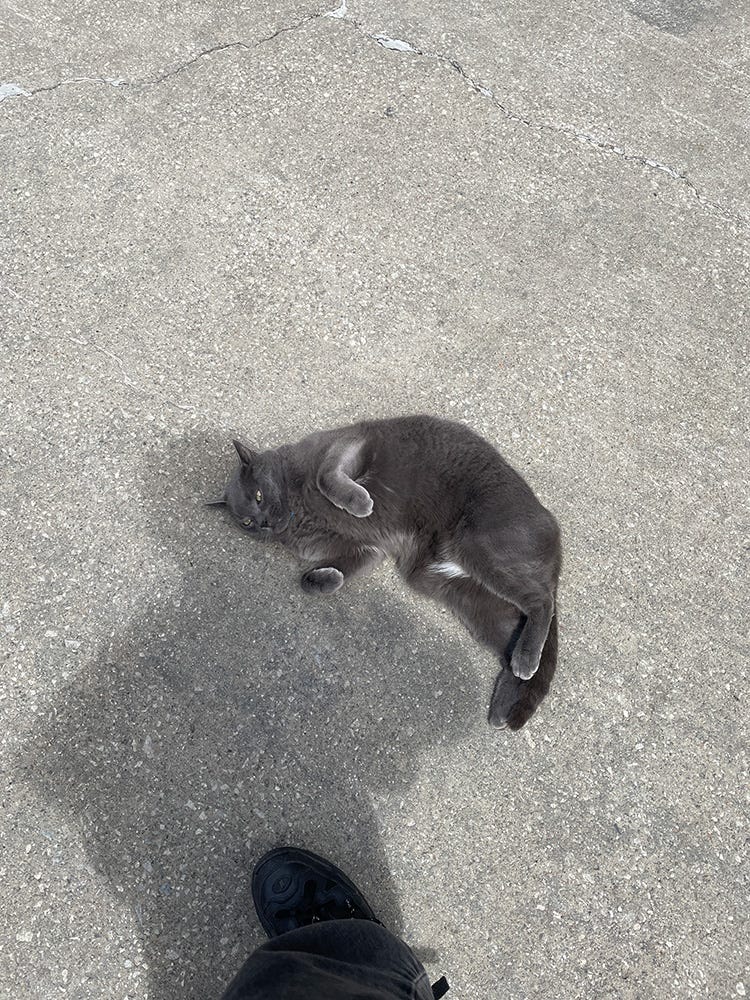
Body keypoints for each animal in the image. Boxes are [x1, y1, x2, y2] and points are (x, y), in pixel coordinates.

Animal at [208, 415, 562, 730]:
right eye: (246, 522)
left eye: (258, 496)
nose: (264, 523)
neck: (298, 515)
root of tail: (552, 535)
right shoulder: (365, 548)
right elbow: (330, 574)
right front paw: (320, 578)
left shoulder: (346, 443)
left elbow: (327, 476)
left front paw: (360, 504)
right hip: (461, 594)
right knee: (515, 642)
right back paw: (504, 704)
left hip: (479, 546)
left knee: (540, 601)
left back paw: (525, 661)